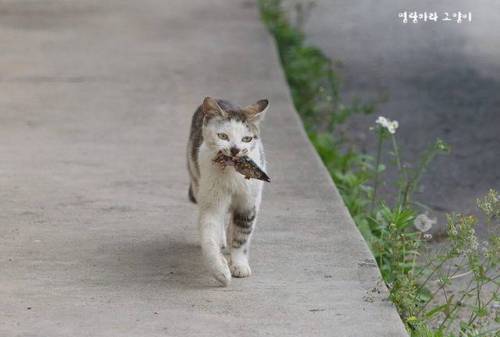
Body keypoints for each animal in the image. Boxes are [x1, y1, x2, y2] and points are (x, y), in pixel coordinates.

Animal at [186, 96, 270, 284]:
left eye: (246, 139)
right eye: (223, 136)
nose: (235, 149)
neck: (232, 174)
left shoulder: (249, 204)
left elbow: (242, 236)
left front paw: (239, 265)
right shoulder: (211, 201)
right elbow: (209, 235)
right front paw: (220, 271)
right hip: (197, 180)